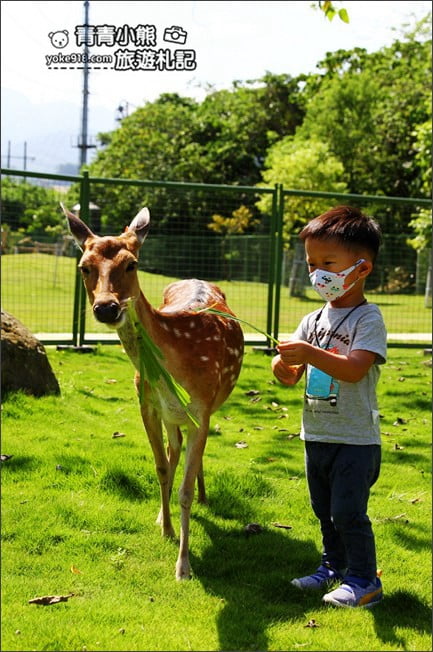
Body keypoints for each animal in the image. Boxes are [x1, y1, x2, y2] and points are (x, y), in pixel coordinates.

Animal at [61, 204, 244, 580]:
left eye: (132, 264)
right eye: (84, 267)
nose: (106, 307)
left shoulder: (201, 407)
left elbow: (185, 490)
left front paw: (184, 566)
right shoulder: (146, 404)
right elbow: (160, 467)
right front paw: (166, 528)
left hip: (208, 406)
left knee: (193, 452)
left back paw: (204, 496)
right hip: (171, 414)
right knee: (175, 449)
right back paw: (165, 514)